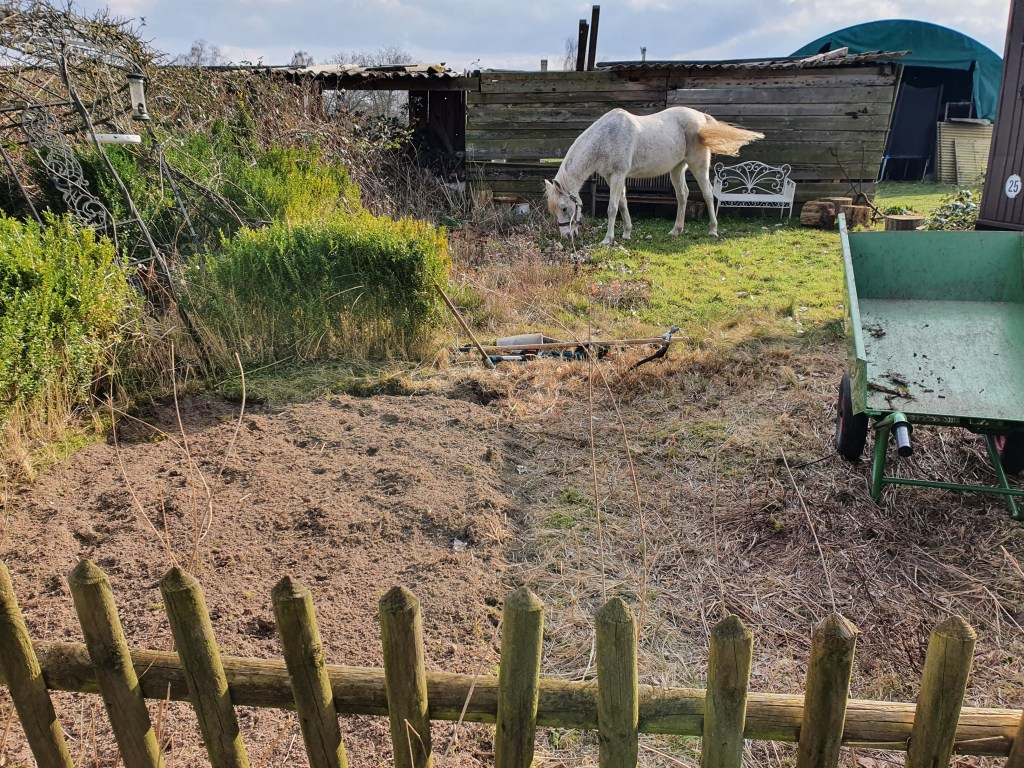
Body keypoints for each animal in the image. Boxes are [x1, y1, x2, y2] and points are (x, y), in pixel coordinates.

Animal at [544, 106, 763, 245]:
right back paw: (676, 230)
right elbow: (623, 204)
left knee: (708, 194)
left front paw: (608, 239)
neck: (606, 138)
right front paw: (626, 233)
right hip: (677, 168)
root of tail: (702, 118)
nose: (566, 236)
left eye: (564, 208)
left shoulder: (617, 176)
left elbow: (612, 208)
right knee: (682, 195)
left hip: (698, 165)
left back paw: (713, 230)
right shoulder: (612, 177)